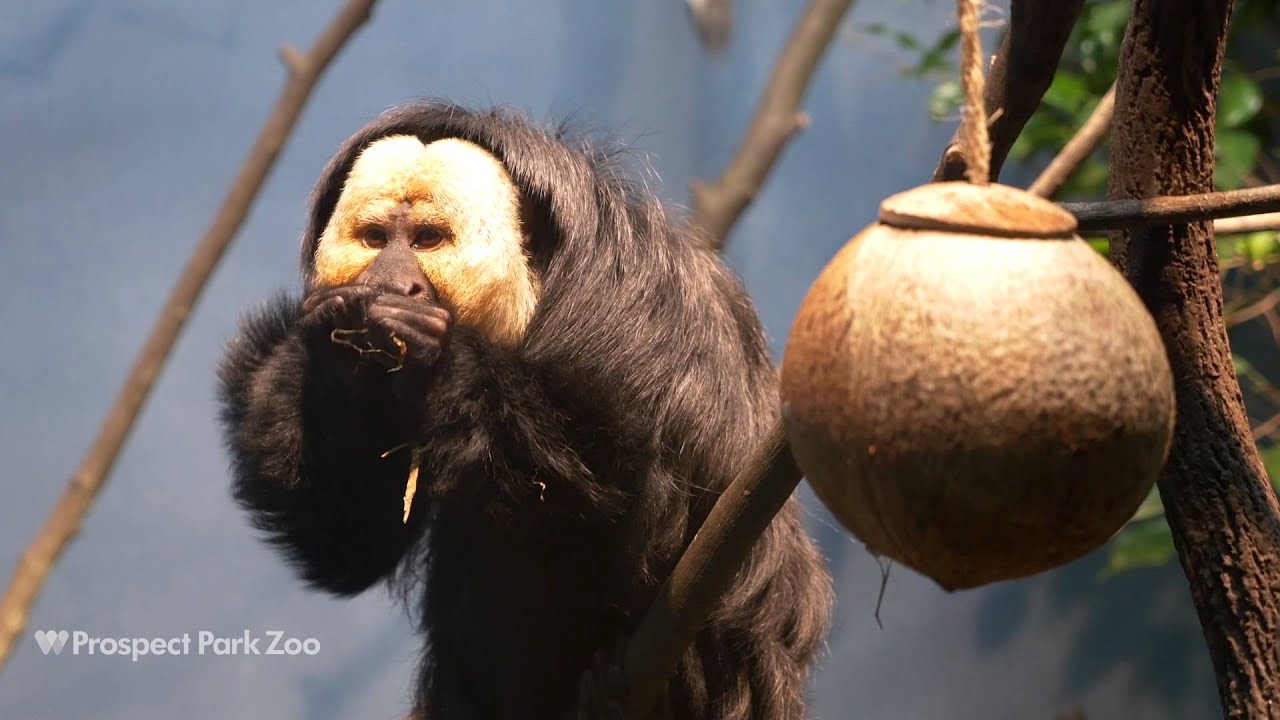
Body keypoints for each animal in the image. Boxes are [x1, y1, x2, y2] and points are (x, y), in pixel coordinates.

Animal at [217, 101, 832, 719]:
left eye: (426, 239)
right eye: (374, 238)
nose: (390, 281)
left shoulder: (633, 317)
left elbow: (634, 510)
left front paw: (439, 360)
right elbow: (352, 542)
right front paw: (333, 346)